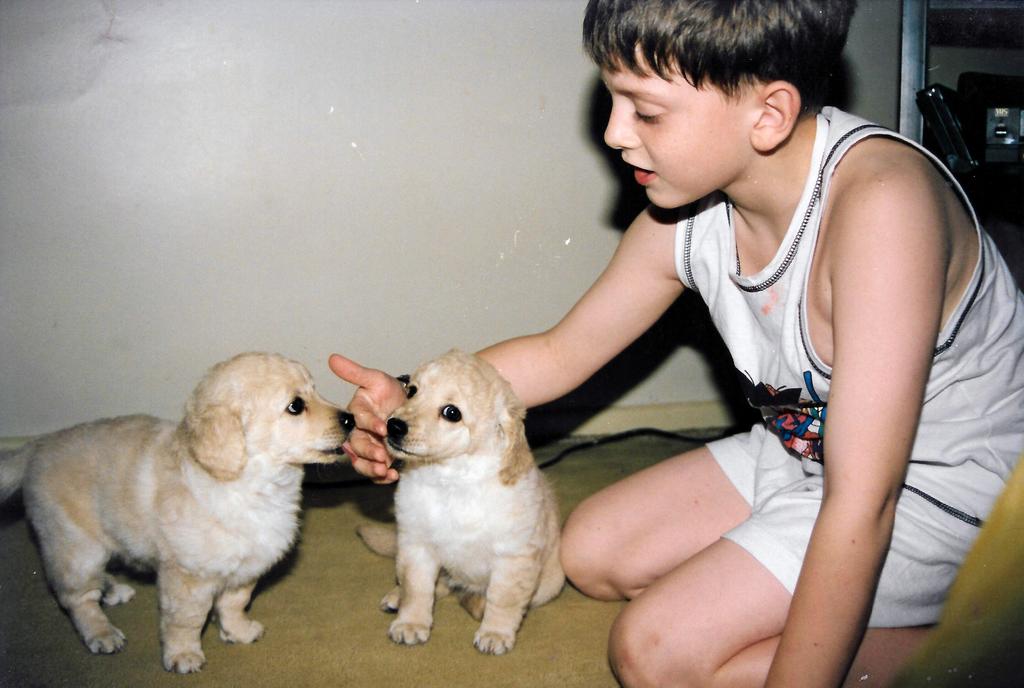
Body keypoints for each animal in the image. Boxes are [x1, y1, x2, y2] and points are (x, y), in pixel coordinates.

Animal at [0, 352, 353, 673]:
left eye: (315, 390)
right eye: (296, 406)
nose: (350, 419)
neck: (250, 486)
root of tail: (37, 447)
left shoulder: (245, 567)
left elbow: (234, 604)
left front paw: (237, 631)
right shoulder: (187, 578)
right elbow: (186, 621)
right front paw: (183, 654)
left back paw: (114, 590)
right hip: (76, 548)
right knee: (78, 598)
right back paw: (102, 633)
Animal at [360, 349, 563, 655]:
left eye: (451, 413)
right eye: (412, 390)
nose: (393, 425)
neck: (453, 479)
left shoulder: (514, 557)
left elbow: (503, 600)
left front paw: (495, 632)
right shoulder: (416, 544)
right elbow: (416, 588)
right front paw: (411, 623)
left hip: (552, 582)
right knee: (438, 586)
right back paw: (398, 598)